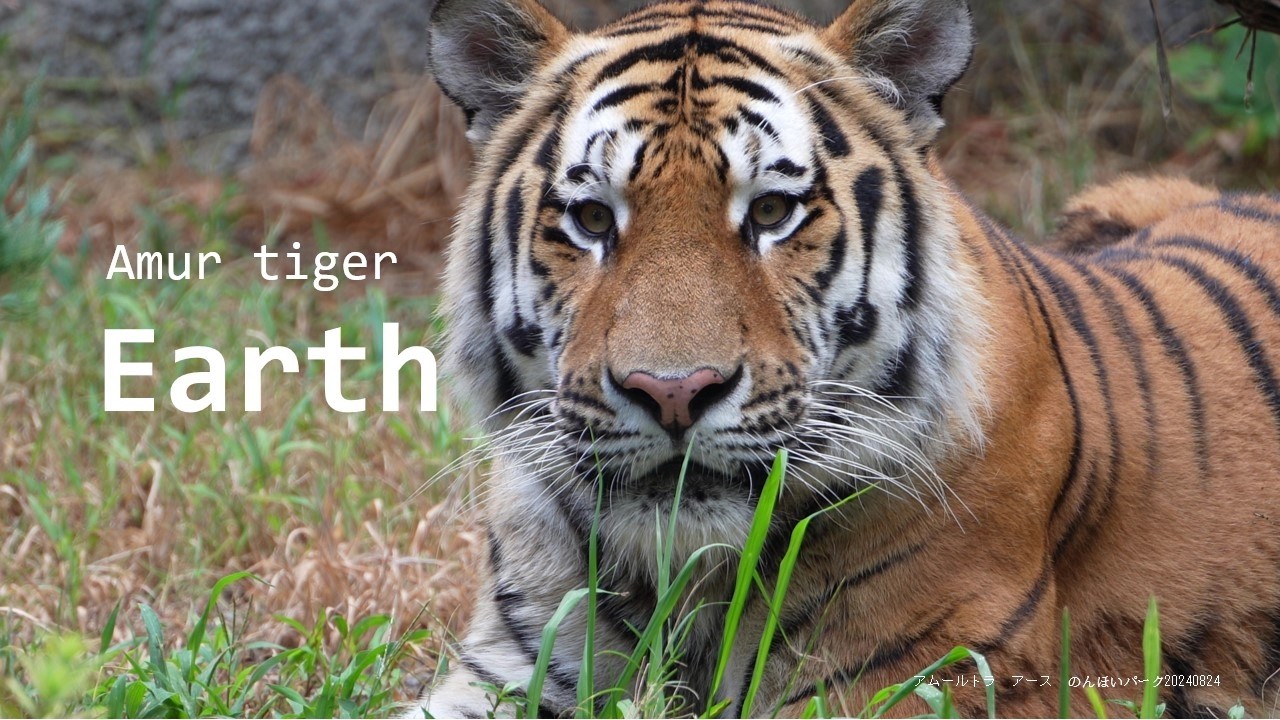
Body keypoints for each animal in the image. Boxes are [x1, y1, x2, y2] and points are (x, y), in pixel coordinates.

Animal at [415, 0, 1280, 716]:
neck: (684, 580)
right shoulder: (506, 671)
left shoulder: (918, 680)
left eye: (771, 211)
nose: (674, 392)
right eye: (593, 219)